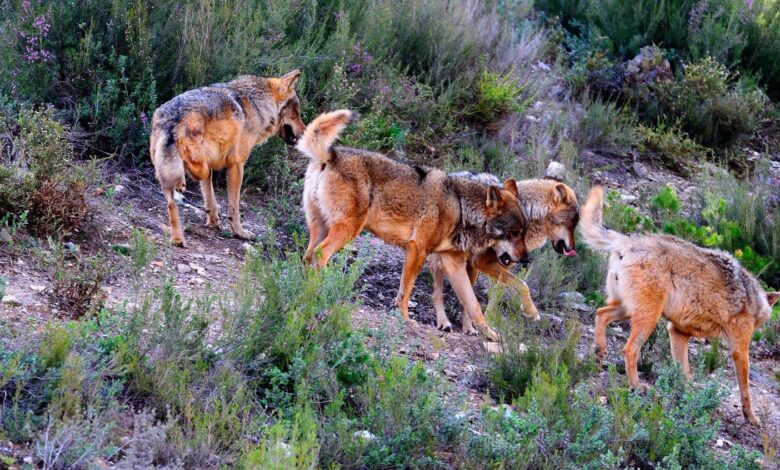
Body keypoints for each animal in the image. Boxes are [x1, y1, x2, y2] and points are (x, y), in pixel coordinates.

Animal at [149, 70, 304, 246]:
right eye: (296, 114)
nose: (305, 133)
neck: (258, 105)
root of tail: (173, 116)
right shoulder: (236, 165)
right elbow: (234, 206)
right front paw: (239, 232)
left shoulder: (212, 168)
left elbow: (210, 201)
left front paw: (213, 223)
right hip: (196, 162)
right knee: (194, 171)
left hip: (167, 172)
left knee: (171, 205)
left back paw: (177, 239)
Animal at [298, 109, 532, 342]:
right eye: (513, 232)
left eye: (523, 232)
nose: (526, 260)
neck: (460, 207)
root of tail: (331, 154)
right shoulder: (417, 250)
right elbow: (406, 291)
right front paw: (406, 319)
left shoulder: (453, 263)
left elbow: (473, 305)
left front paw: (489, 333)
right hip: (347, 231)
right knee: (320, 255)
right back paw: (326, 287)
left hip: (321, 230)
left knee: (307, 257)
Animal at [426, 175, 580, 334]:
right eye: (572, 223)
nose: (573, 249)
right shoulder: (483, 263)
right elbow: (523, 285)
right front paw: (531, 312)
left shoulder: (503, 266)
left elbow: (496, 296)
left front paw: (489, 322)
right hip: (443, 262)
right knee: (437, 294)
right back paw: (444, 323)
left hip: (469, 268)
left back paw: (469, 328)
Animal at [580, 185, 776, 426]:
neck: (752, 296)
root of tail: (629, 241)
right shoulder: (739, 349)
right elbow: (745, 389)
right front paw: (751, 417)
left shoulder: (678, 332)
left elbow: (684, 373)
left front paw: (690, 399)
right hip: (647, 320)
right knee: (629, 349)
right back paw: (636, 386)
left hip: (627, 310)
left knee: (601, 314)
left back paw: (599, 354)